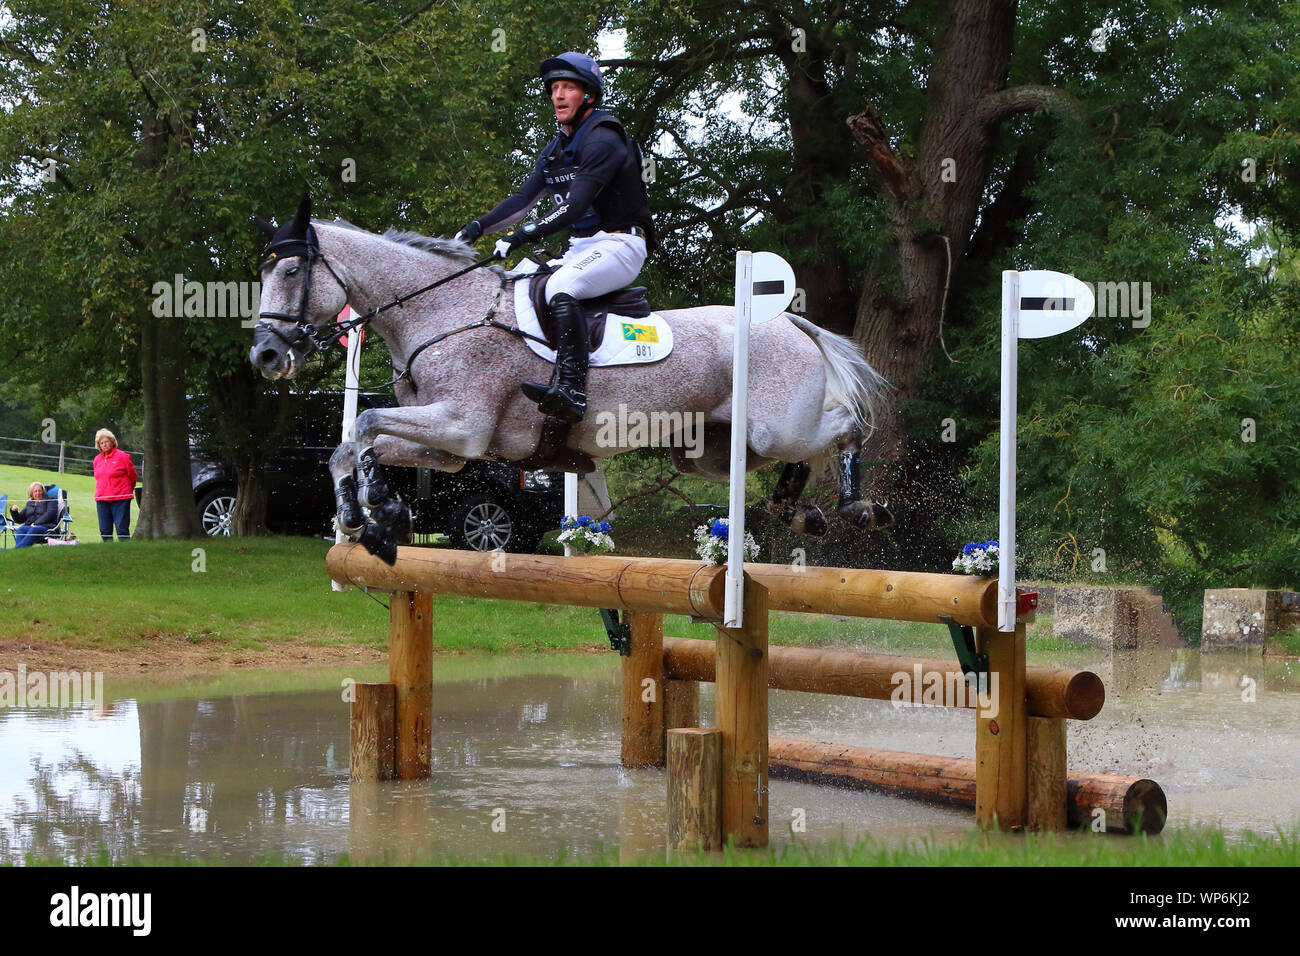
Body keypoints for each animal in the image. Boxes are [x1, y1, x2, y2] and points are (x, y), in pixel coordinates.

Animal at [248, 197, 889, 564]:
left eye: (291, 270)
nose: (266, 354)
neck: (441, 311)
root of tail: (789, 321)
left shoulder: (461, 425)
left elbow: (366, 422)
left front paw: (379, 509)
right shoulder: (453, 450)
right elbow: (353, 444)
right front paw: (366, 520)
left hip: (777, 425)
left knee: (844, 429)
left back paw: (858, 506)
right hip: (712, 451)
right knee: (789, 464)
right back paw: (800, 512)